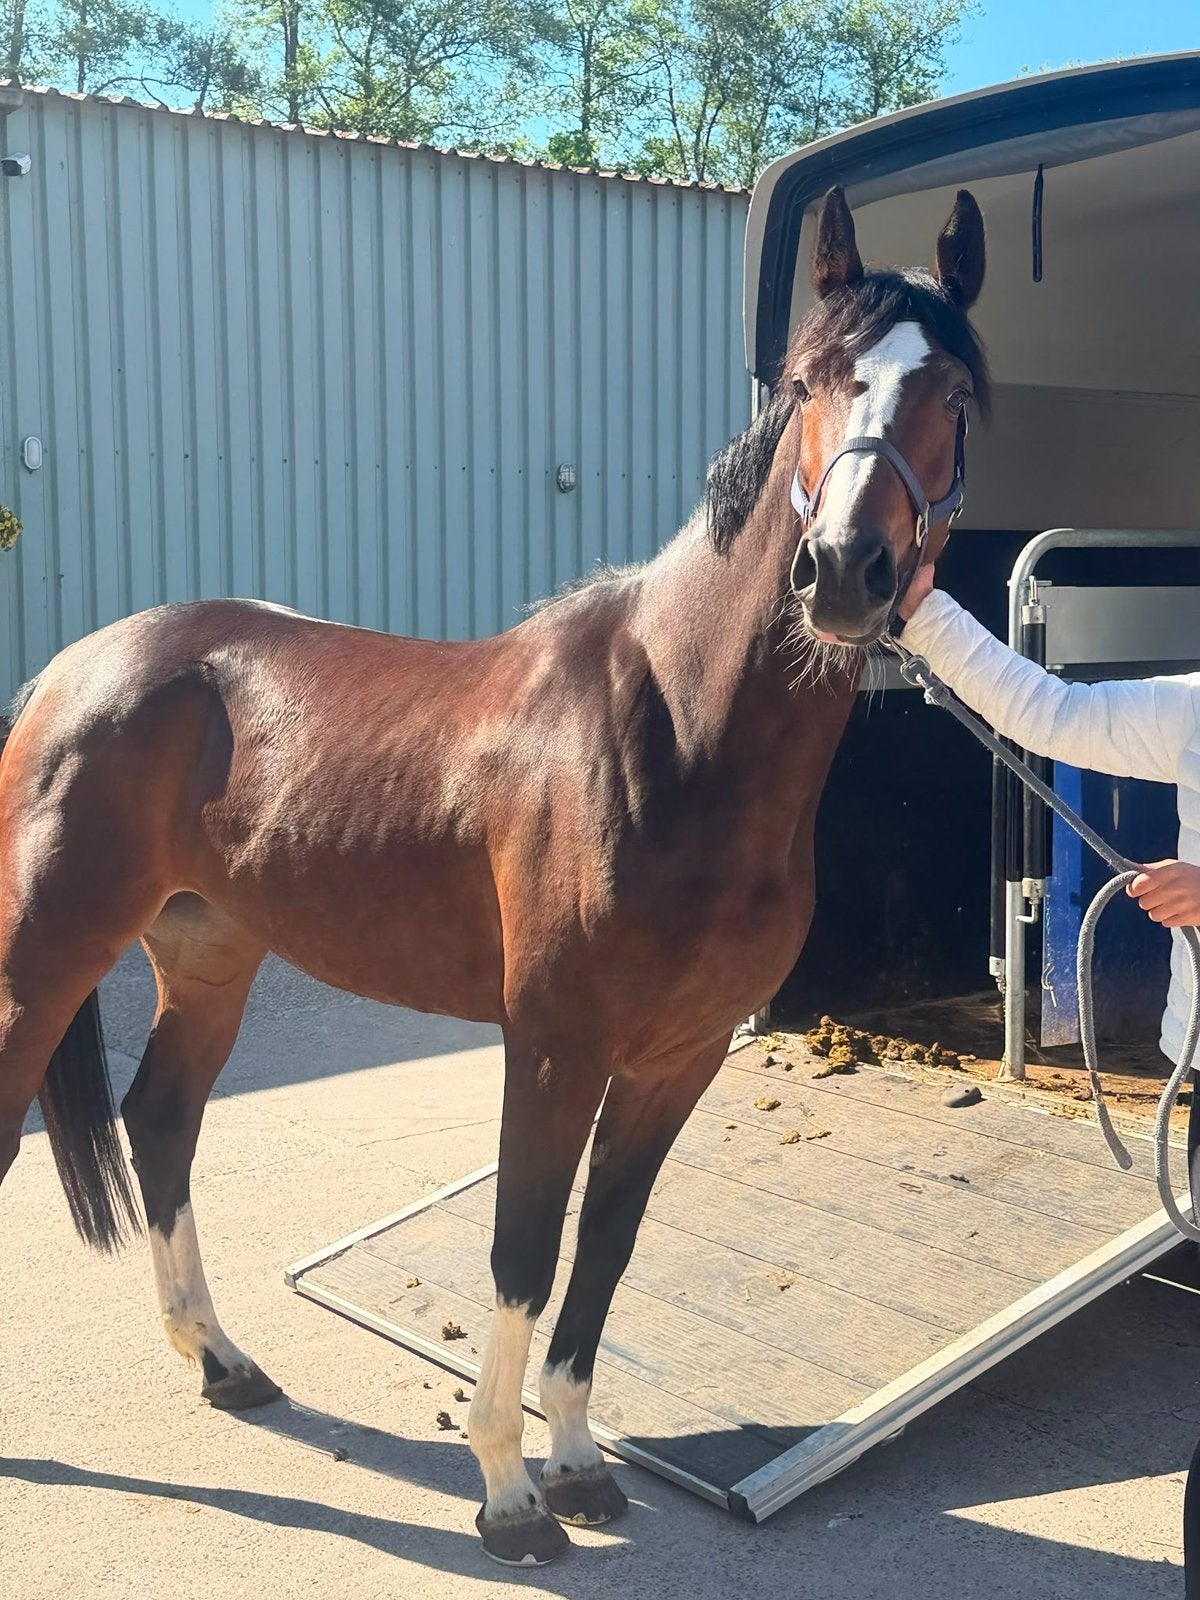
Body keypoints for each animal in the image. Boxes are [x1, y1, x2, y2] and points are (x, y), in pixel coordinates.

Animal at [0, 184, 986, 1565]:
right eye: (808, 381)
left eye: (952, 390)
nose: (843, 569)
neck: (678, 730)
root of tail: (73, 668)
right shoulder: (555, 1042)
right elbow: (523, 1245)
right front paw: (510, 1495)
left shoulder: (677, 1059)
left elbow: (605, 1250)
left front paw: (576, 1465)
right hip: (42, 958)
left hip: (209, 956)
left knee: (163, 1122)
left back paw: (225, 1362)